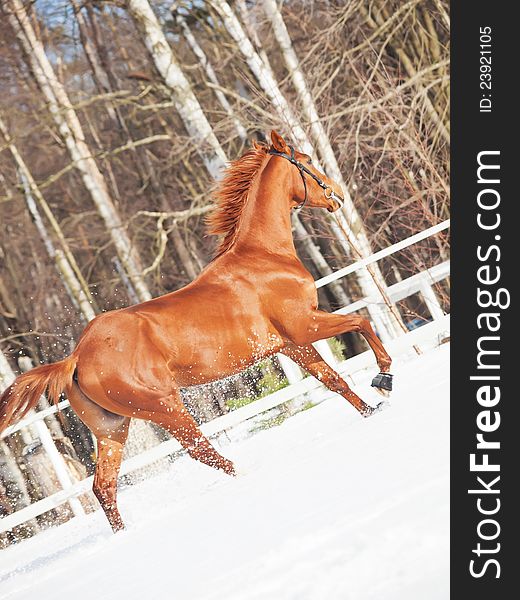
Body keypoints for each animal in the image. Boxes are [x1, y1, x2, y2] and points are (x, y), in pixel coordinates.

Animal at [0, 130, 390, 528]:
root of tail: (78, 355)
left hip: (113, 429)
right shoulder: (304, 326)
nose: (336, 194)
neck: (263, 256)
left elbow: (333, 380)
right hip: (166, 408)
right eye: (307, 161)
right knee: (200, 450)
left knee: (104, 487)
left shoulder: (289, 344)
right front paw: (384, 379)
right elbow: (362, 322)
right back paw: (246, 476)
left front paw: (371, 410)